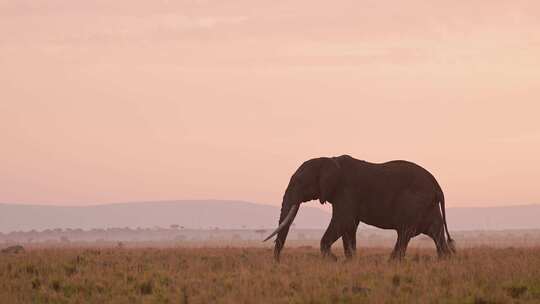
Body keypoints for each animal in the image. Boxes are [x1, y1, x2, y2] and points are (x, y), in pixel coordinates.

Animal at [266, 156, 456, 260]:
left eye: (299, 181)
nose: (277, 262)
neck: (329, 160)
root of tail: (438, 186)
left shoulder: (346, 190)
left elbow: (343, 222)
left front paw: (335, 261)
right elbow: (349, 227)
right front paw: (349, 261)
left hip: (414, 203)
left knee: (404, 233)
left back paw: (391, 263)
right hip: (428, 207)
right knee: (436, 234)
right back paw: (444, 262)